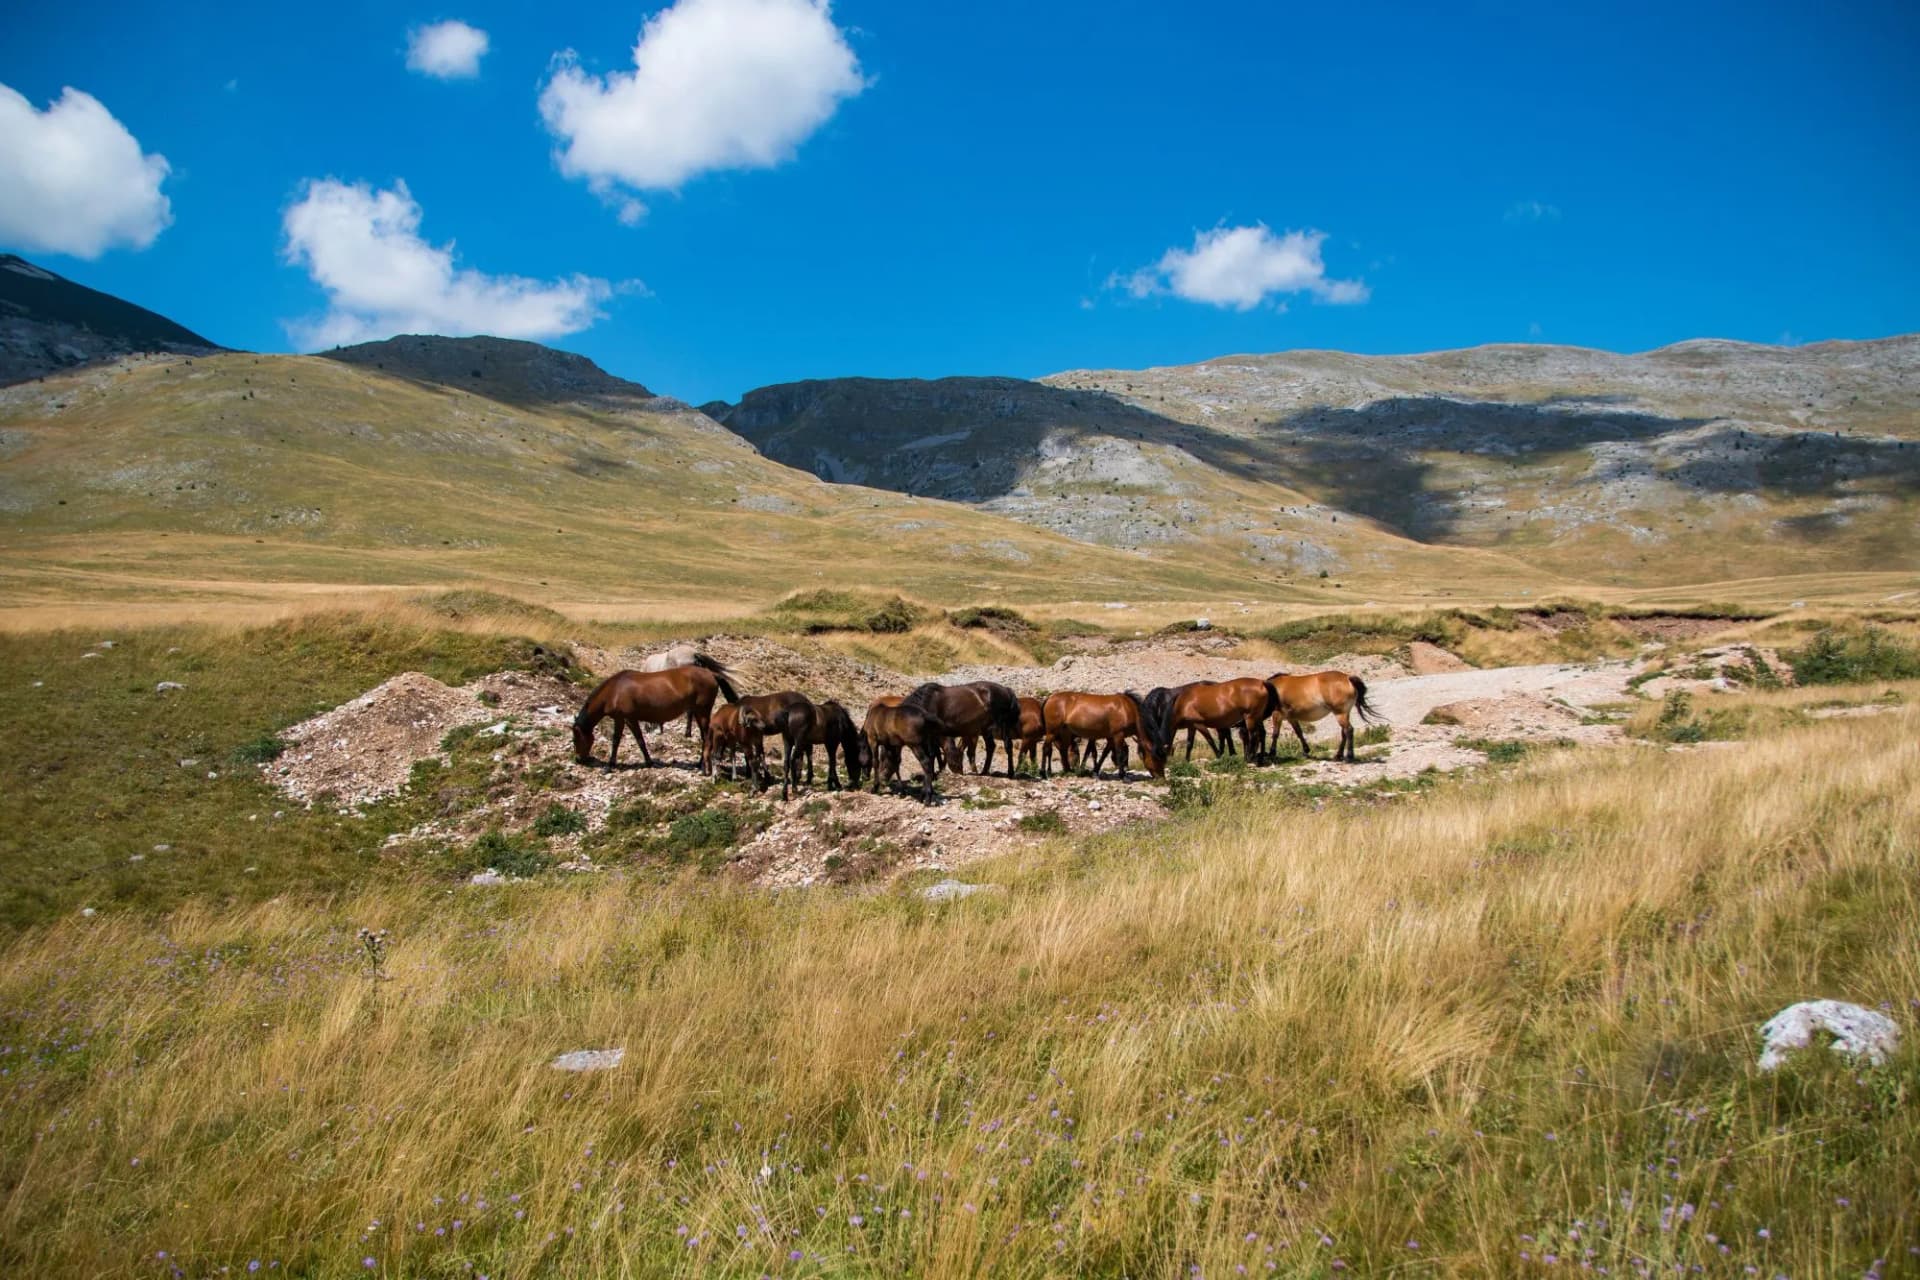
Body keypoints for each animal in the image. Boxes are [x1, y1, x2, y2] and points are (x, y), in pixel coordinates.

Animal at [573, 656, 738, 772]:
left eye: (575, 739)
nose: (578, 760)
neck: (614, 691)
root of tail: (711, 674)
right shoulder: (627, 720)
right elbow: (638, 740)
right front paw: (648, 761)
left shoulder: (624, 718)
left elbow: (619, 741)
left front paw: (609, 765)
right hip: (699, 712)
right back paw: (699, 764)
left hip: (702, 711)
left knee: (706, 738)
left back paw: (703, 765)